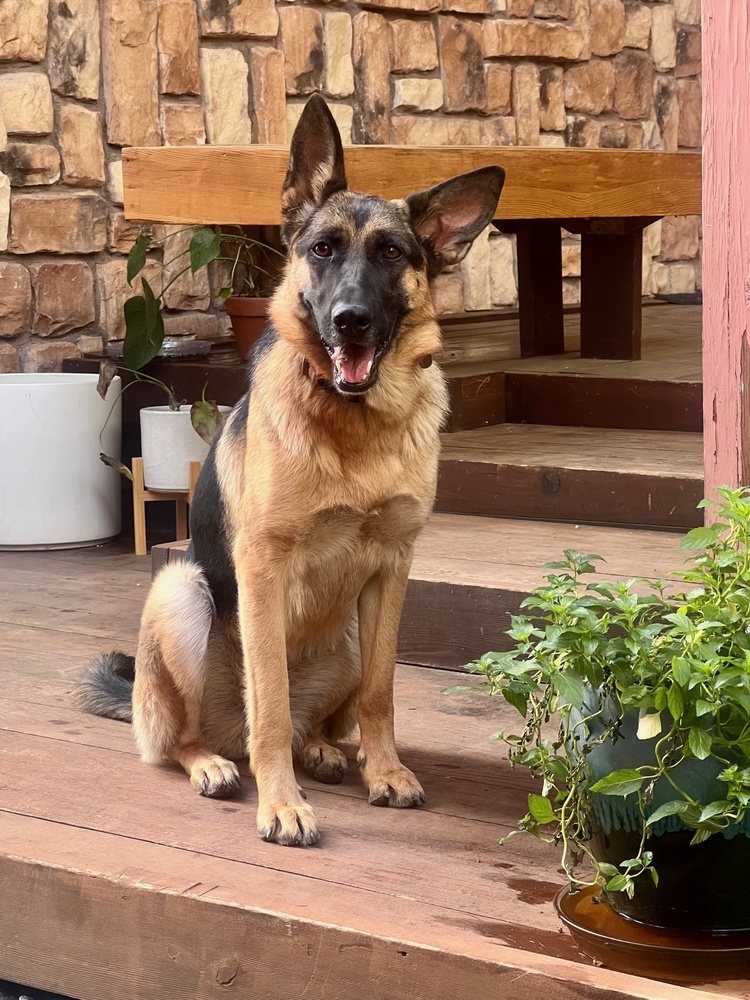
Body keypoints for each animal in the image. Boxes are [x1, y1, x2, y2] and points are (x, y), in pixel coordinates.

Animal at [78, 94, 506, 848]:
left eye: (391, 253)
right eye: (322, 249)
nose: (350, 320)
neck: (354, 424)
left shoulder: (393, 569)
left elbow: (382, 693)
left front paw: (384, 770)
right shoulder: (263, 567)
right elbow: (270, 702)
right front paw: (281, 804)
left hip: (350, 638)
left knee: (320, 715)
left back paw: (323, 750)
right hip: (180, 590)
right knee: (193, 735)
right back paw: (216, 763)